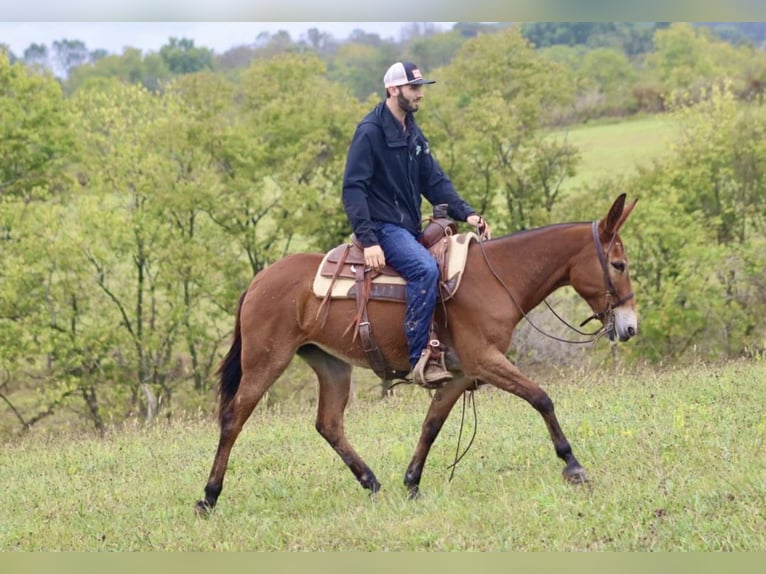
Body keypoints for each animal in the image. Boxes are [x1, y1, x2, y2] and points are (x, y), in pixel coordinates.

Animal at [195, 193, 638, 514]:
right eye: (618, 264)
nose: (630, 326)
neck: (496, 278)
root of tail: (257, 282)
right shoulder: (486, 361)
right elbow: (541, 398)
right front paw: (573, 465)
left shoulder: (459, 374)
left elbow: (431, 425)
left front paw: (412, 482)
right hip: (265, 361)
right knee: (233, 419)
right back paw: (209, 496)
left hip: (331, 365)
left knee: (329, 424)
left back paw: (371, 482)